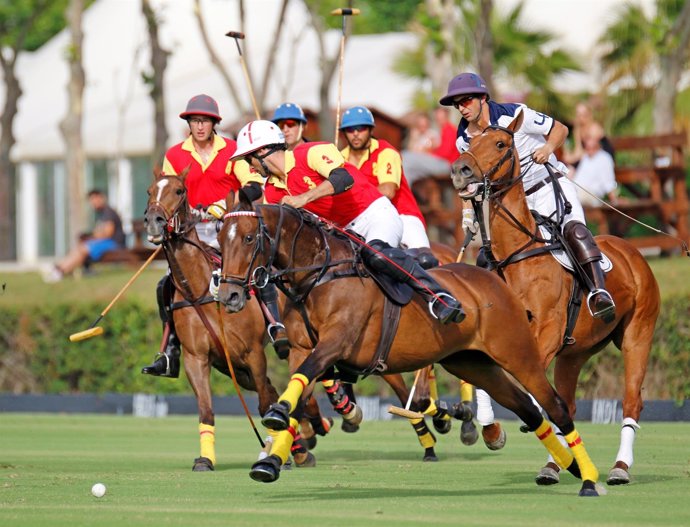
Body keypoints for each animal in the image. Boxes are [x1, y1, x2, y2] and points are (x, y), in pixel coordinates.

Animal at [218, 196, 600, 498]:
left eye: (250, 238)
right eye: (220, 238)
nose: (229, 296)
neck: (320, 275)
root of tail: (495, 279)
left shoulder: (336, 342)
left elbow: (301, 382)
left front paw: (276, 415)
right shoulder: (303, 348)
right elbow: (299, 393)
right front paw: (269, 462)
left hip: (517, 353)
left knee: (555, 406)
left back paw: (589, 479)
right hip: (474, 363)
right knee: (529, 409)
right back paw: (571, 466)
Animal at [448, 111, 660, 486]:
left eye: (500, 144)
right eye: (467, 145)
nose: (461, 170)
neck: (516, 255)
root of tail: (633, 251)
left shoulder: (546, 330)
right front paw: (490, 431)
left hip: (638, 334)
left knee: (631, 400)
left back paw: (619, 468)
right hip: (574, 353)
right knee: (567, 403)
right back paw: (552, 465)